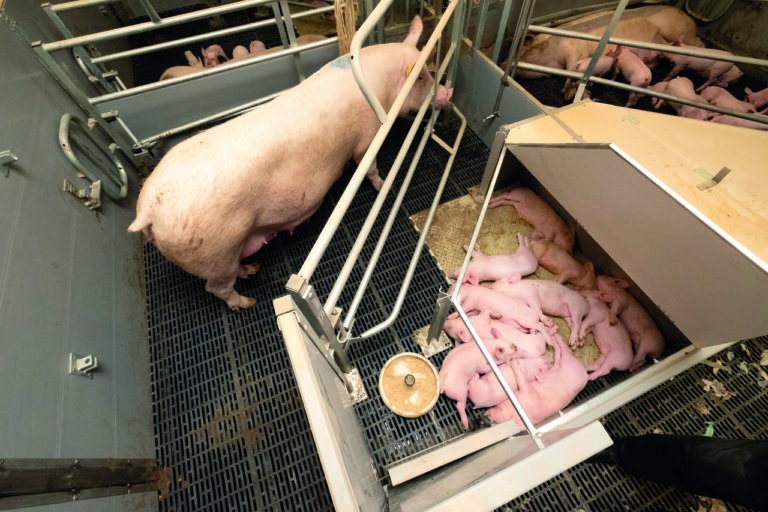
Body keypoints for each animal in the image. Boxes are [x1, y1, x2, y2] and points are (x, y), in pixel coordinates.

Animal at [130, 16, 453, 309]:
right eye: (422, 77)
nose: (448, 93)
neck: (381, 90)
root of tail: (148, 211)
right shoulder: (367, 137)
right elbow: (369, 166)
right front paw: (385, 183)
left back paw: (252, 270)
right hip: (214, 253)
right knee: (216, 288)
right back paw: (246, 301)